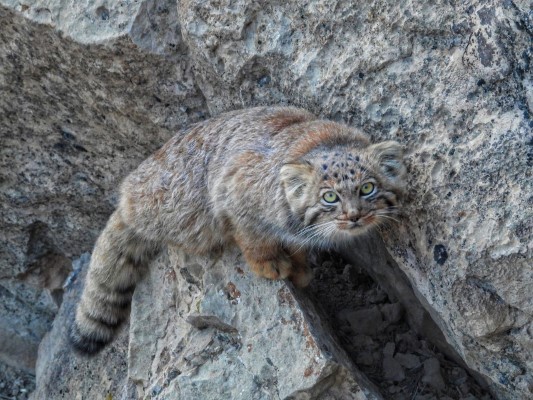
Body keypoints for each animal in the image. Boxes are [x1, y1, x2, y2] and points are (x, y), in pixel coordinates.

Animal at [68, 106, 406, 354]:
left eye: (367, 188)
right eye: (330, 197)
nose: (354, 216)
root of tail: (127, 197)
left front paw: (299, 266)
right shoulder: (233, 193)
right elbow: (252, 235)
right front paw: (269, 262)